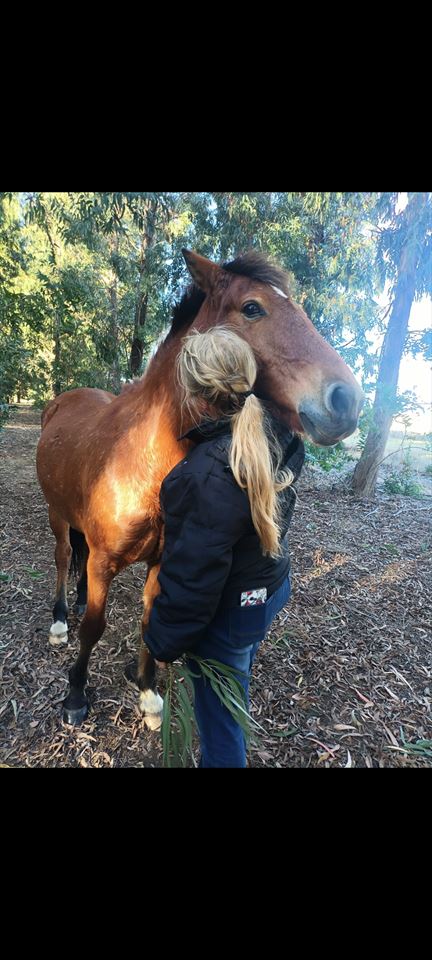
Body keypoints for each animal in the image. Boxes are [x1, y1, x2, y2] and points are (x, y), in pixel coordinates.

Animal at [36, 249, 364, 728]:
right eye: (252, 307)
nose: (347, 401)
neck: (143, 462)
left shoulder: (162, 562)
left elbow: (149, 620)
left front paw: (148, 693)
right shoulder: (104, 562)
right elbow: (94, 629)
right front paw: (76, 694)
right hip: (57, 514)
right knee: (63, 557)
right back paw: (61, 619)